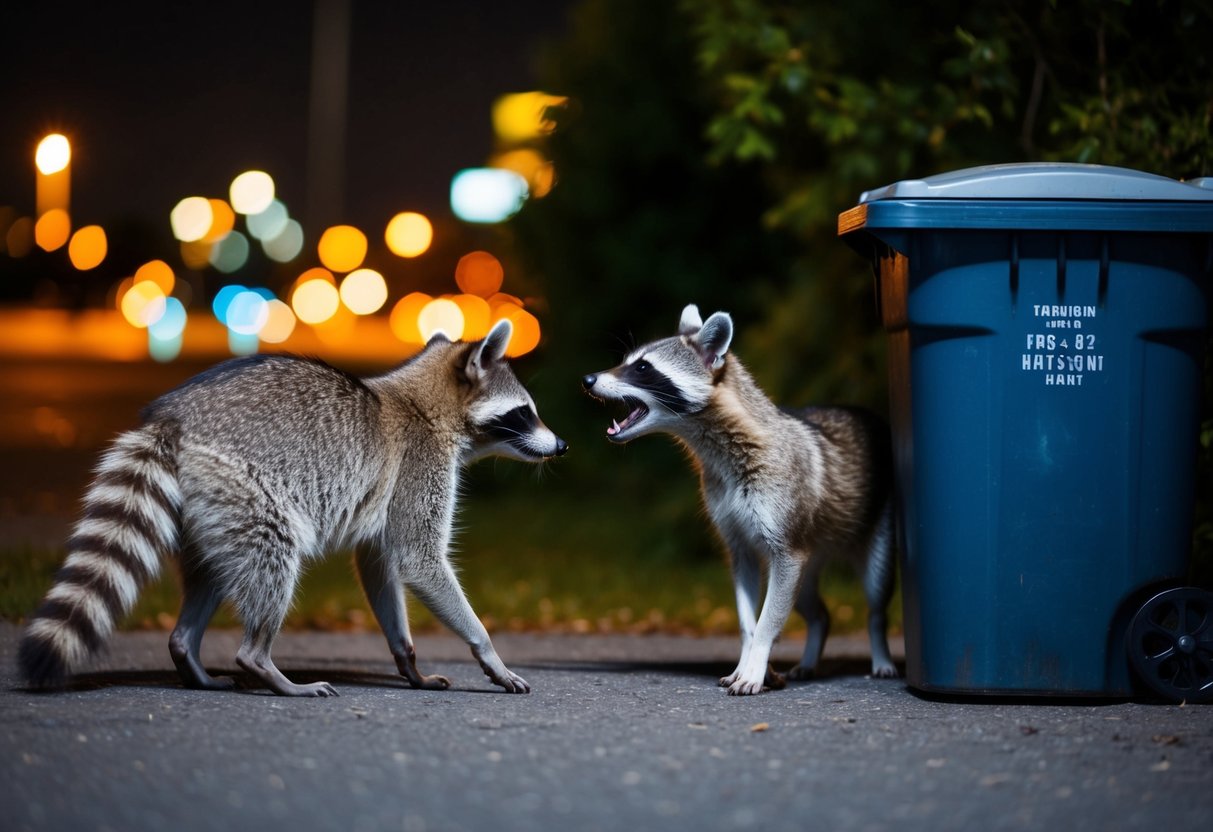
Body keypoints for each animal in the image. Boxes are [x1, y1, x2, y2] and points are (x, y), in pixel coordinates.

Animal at [20, 319, 566, 696]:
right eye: (525, 413)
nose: (561, 446)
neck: (426, 401)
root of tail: (171, 420)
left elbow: (379, 566)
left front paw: (407, 659)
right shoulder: (420, 464)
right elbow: (419, 559)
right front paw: (488, 650)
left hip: (207, 504)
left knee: (213, 571)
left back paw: (188, 651)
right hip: (242, 483)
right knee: (273, 554)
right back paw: (263, 662)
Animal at [583, 304, 897, 695]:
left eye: (642, 367)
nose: (588, 379)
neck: (716, 446)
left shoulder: (781, 516)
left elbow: (770, 617)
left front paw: (758, 657)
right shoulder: (734, 531)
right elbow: (748, 609)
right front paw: (749, 653)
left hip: (875, 526)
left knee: (875, 599)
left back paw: (880, 649)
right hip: (809, 552)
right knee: (814, 608)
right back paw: (812, 650)